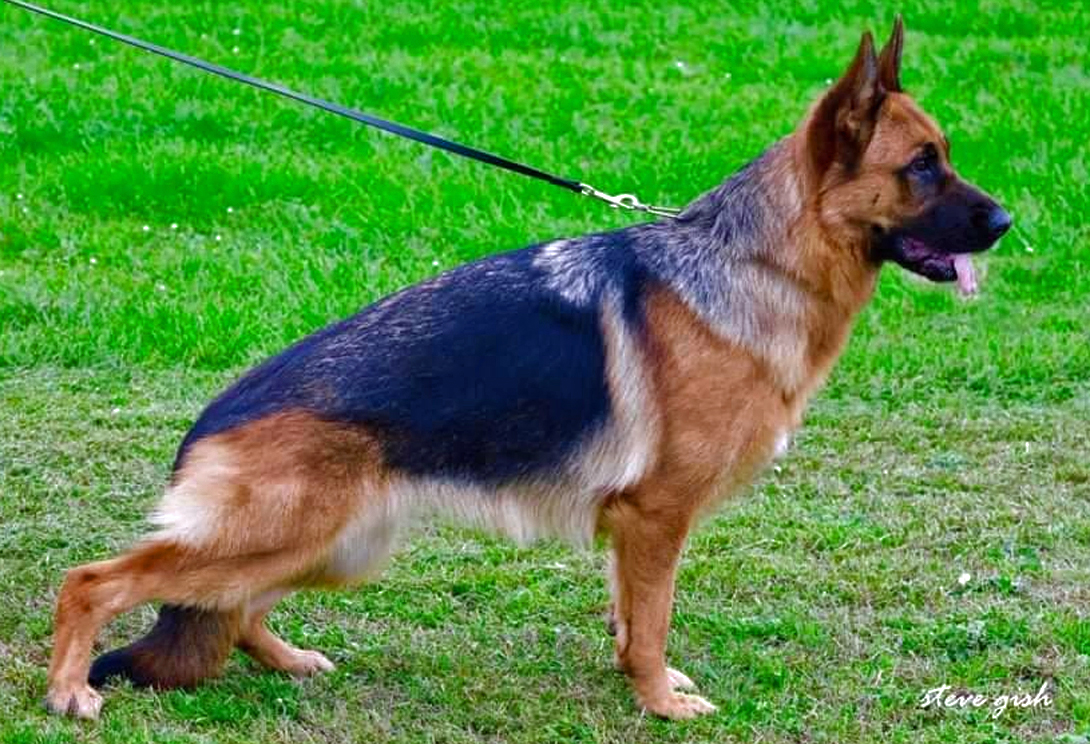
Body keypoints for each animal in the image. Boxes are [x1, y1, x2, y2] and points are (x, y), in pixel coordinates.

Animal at [45, 18, 1010, 720]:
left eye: (944, 156)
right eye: (921, 167)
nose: (1007, 223)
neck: (753, 261)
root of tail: (208, 422)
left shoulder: (636, 531)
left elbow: (630, 618)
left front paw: (645, 684)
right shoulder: (657, 517)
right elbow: (653, 622)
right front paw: (661, 705)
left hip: (334, 545)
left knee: (237, 610)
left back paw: (286, 659)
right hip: (280, 535)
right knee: (93, 580)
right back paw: (69, 689)